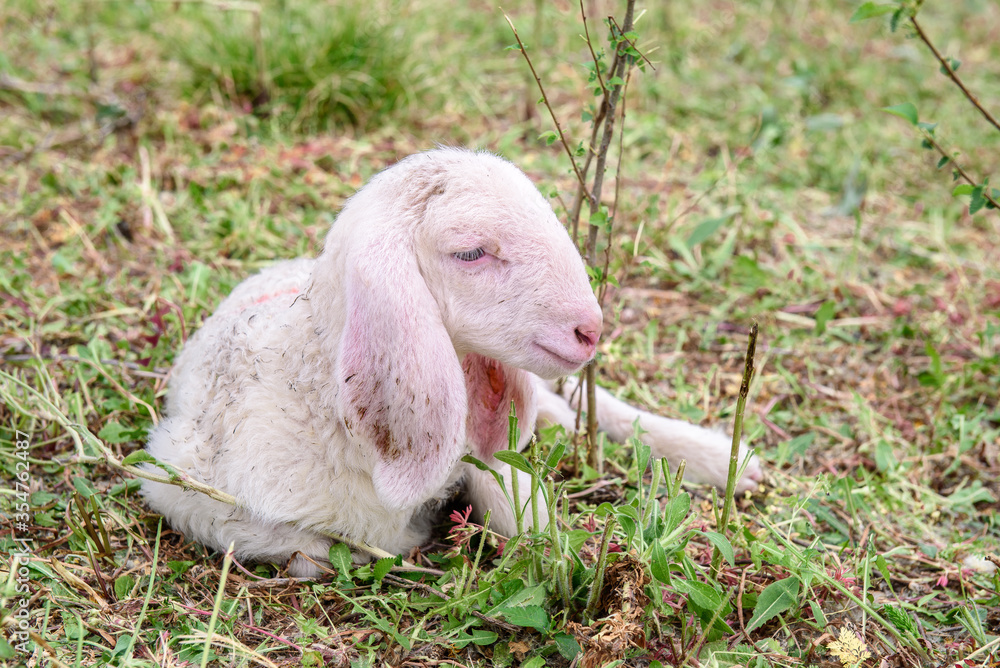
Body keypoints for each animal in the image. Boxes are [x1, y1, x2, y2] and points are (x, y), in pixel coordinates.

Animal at [141, 148, 762, 576]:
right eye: (470, 253)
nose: (590, 330)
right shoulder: (175, 478)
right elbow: (296, 547)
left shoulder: (478, 450)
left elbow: (522, 508)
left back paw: (723, 458)